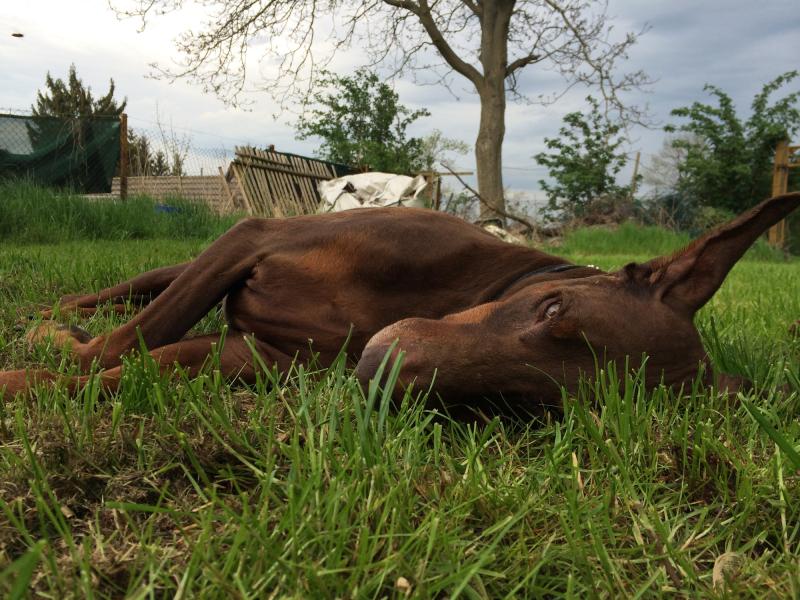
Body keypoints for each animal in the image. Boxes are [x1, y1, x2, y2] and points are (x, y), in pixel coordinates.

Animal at [0, 190, 796, 410]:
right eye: (552, 312)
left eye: (541, 406)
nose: (386, 375)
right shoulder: (253, 236)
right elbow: (128, 341)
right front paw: (31, 368)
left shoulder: (256, 357)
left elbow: (138, 364)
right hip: (194, 256)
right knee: (114, 297)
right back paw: (49, 319)